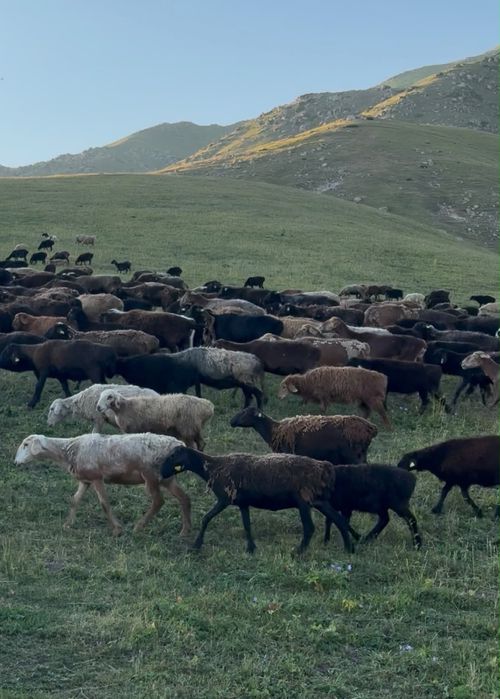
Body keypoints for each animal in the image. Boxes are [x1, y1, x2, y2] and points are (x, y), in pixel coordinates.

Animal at [15, 433, 191, 535]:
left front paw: (117, 529)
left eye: (26, 445)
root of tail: (178, 444)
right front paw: (67, 524)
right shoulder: (85, 480)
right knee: (184, 498)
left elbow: (104, 504)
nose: (15, 462)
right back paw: (185, 531)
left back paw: (138, 527)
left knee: (159, 501)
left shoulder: (96, 477)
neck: (68, 451)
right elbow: (74, 500)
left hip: (150, 475)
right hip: (167, 478)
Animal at [159, 445, 353, 554]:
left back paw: (298, 552)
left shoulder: (224, 499)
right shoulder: (243, 503)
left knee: (310, 528)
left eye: (172, 456)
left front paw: (196, 546)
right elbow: (247, 525)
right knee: (339, 520)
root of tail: (324, 467)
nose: (161, 473)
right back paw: (349, 548)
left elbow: (206, 518)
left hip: (303, 501)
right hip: (318, 501)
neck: (212, 468)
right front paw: (251, 548)